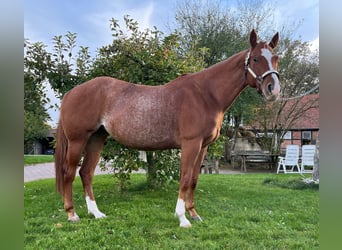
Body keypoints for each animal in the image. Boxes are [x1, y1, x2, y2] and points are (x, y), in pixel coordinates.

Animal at [55, 29, 280, 227]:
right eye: (255, 59)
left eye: (276, 58)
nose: (273, 89)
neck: (206, 94)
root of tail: (72, 93)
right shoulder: (191, 144)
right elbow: (185, 178)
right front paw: (182, 219)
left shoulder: (203, 146)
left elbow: (194, 179)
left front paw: (194, 214)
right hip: (78, 140)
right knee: (69, 172)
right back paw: (71, 214)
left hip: (97, 138)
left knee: (86, 172)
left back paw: (96, 213)